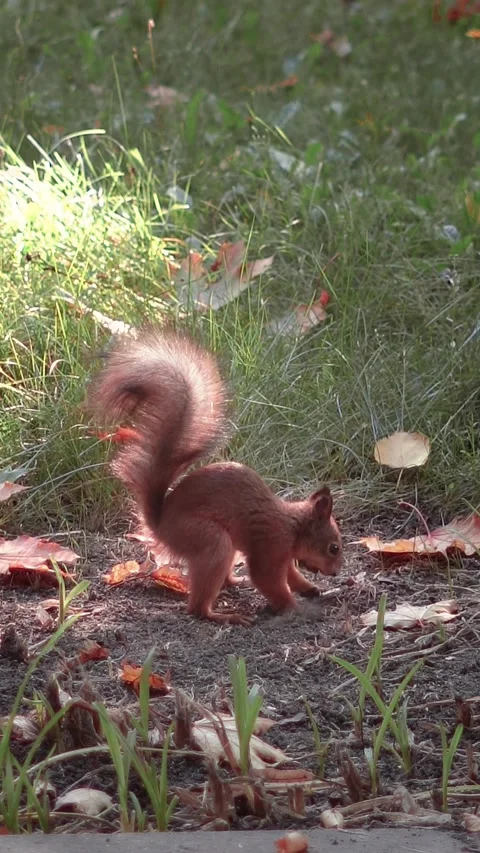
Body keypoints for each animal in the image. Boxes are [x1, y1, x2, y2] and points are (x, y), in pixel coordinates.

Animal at [90, 327, 343, 626]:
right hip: (210, 541)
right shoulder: (271, 545)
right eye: (333, 548)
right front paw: (297, 608)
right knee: (197, 608)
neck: (293, 526)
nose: (337, 572)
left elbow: (291, 576)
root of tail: (160, 525)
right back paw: (224, 616)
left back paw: (235, 582)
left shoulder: (284, 556)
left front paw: (309, 588)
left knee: (222, 581)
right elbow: (269, 581)